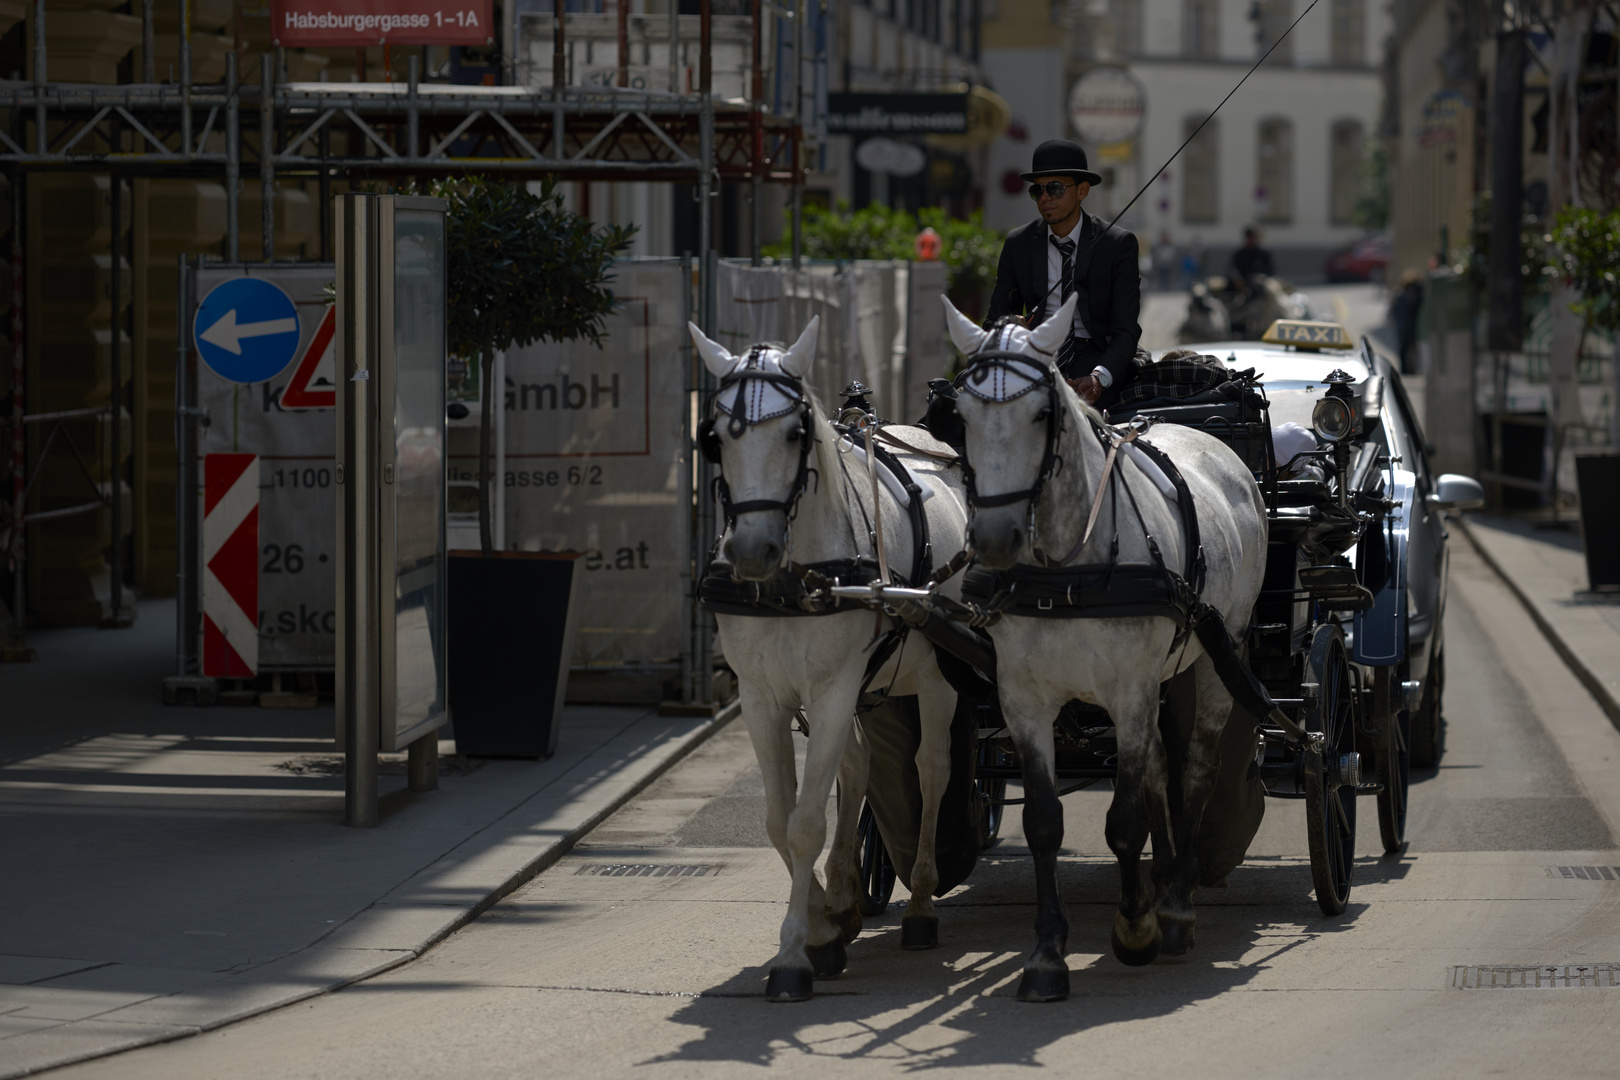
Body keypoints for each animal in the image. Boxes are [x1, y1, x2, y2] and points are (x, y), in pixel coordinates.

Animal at [686, 314, 965, 1003]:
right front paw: (823, 924)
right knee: (861, 767)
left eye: (795, 432)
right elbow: (777, 819)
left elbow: (806, 821)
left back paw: (921, 904)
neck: (798, 578)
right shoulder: (762, 697)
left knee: (932, 770)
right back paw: (844, 894)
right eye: (714, 438)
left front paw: (794, 955)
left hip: (936, 678)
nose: (751, 551)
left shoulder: (834, 689)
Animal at [946, 296, 1270, 1003]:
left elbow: (1124, 821)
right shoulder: (1024, 701)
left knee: (1195, 769)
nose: (994, 538)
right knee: (1158, 773)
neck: (1067, 568)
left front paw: (1136, 929)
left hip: (1216, 654)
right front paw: (1046, 957)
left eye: (1041, 414)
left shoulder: (1128, 692)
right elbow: (1047, 823)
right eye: (963, 415)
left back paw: (1175, 906)